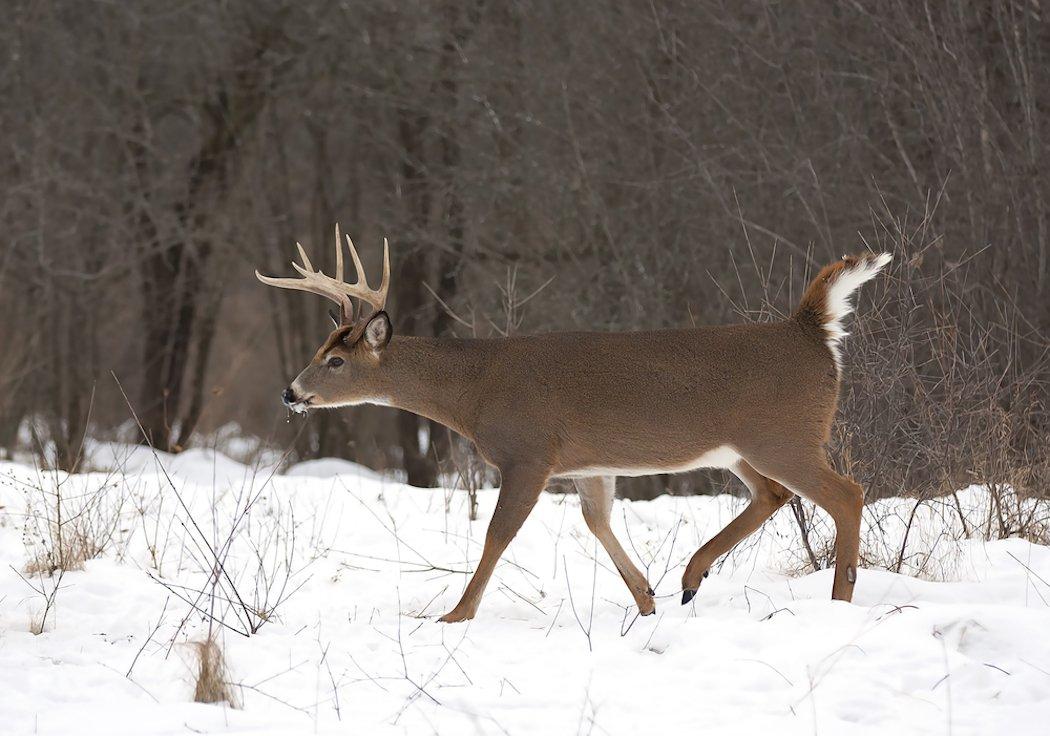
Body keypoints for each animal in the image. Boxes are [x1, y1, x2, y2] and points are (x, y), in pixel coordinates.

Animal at [258, 226, 890, 621]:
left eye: (335, 361)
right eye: (319, 349)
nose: (290, 393)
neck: (474, 391)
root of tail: (812, 328)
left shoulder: (529, 452)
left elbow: (497, 534)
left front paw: (454, 614)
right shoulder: (587, 464)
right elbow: (597, 521)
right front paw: (646, 600)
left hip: (783, 435)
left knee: (846, 493)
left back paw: (839, 599)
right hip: (741, 448)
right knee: (774, 495)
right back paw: (690, 578)